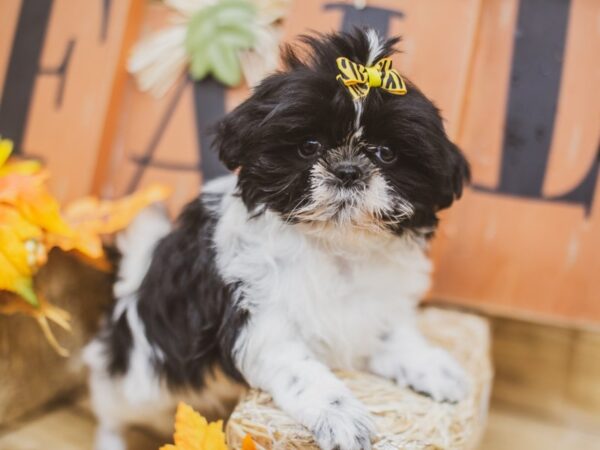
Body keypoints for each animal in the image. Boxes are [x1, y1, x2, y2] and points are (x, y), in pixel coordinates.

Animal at [85, 29, 474, 450]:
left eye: (386, 153)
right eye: (309, 146)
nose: (348, 170)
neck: (334, 246)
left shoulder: (371, 310)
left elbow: (392, 337)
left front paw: (432, 366)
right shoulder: (257, 315)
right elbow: (300, 370)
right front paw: (339, 415)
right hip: (136, 383)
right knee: (111, 410)